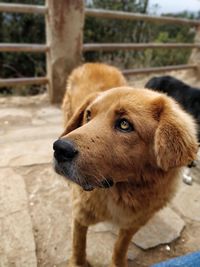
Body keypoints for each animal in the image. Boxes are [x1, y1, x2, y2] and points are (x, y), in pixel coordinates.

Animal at [53, 63, 198, 267]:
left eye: (124, 124)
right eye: (88, 115)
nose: (60, 149)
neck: (121, 192)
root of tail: (95, 63)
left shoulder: (133, 224)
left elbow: (120, 247)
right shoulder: (80, 216)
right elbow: (78, 245)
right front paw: (78, 263)